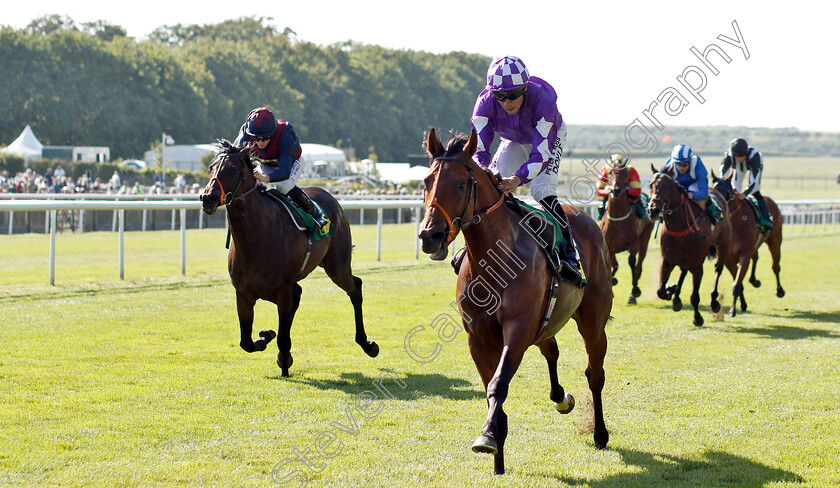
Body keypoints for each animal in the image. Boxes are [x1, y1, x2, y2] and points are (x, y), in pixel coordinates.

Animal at [200, 139, 378, 376]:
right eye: (211, 167)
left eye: (234, 169)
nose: (207, 198)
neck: (256, 238)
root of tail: (329, 195)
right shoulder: (243, 293)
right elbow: (246, 342)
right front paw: (266, 336)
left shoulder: (282, 290)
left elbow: (282, 336)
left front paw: (282, 361)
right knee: (300, 294)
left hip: (337, 266)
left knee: (355, 287)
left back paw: (367, 344)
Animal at [418, 127, 612, 474]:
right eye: (427, 181)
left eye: (461, 183)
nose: (430, 236)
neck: (496, 258)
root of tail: (585, 218)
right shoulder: (479, 337)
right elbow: (490, 389)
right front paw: (497, 456)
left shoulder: (518, 329)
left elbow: (498, 384)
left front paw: (486, 437)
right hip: (546, 320)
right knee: (551, 348)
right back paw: (560, 397)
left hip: (592, 321)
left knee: (595, 373)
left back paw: (600, 433)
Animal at [596, 160, 656, 304]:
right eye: (610, 172)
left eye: (625, 173)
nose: (616, 190)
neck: (617, 220)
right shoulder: (609, 246)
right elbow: (614, 266)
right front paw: (612, 282)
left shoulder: (634, 243)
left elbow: (632, 262)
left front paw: (635, 291)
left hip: (645, 237)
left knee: (639, 265)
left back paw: (633, 294)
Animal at [648, 166, 728, 326]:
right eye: (651, 185)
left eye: (667, 186)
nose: (652, 210)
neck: (680, 227)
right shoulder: (667, 260)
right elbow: (660, 290)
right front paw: (670, 290)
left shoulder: (697, 265)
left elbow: (695, 296)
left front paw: (697, 318)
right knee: (683, 271)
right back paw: (676, 298)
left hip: (722, 244)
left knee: (718, 269)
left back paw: (714, 302)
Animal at [712, 172, 784, 316]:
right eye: (713, 190)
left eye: (729, 194)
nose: (720, 210)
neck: (734, 226)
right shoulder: (728, 258)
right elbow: (738, 280)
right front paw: (742, 304)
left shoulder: (744, 254)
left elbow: (737, 283)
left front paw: (733, 310)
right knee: (755, 257)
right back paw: (754, 280)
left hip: (775, 241)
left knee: (775, 266)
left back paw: (779, 290)